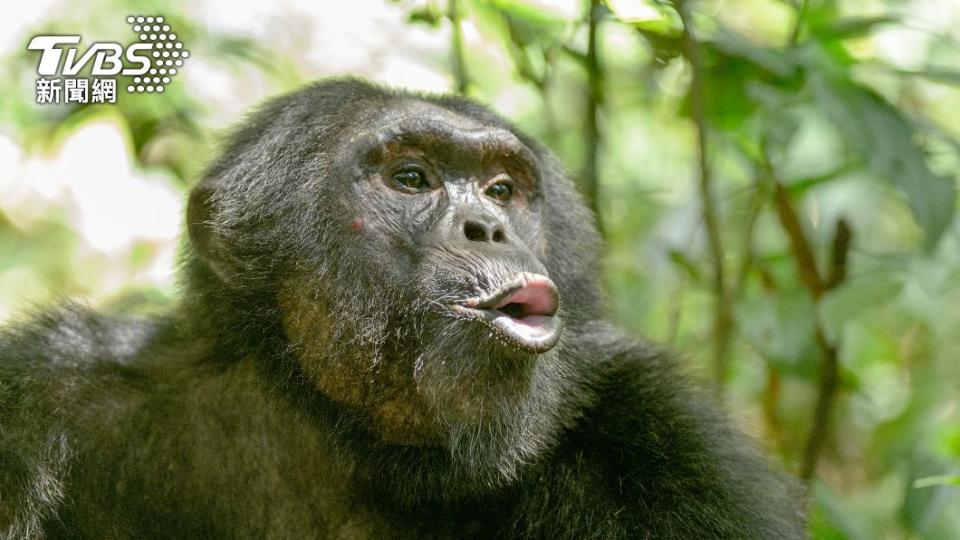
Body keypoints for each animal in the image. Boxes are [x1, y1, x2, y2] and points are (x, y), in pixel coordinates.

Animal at [1, 79, 804, 540]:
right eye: (412, 179)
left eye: (502, 189)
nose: (488, 226)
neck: (337, 434)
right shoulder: (38, 399)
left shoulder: (667, 444)